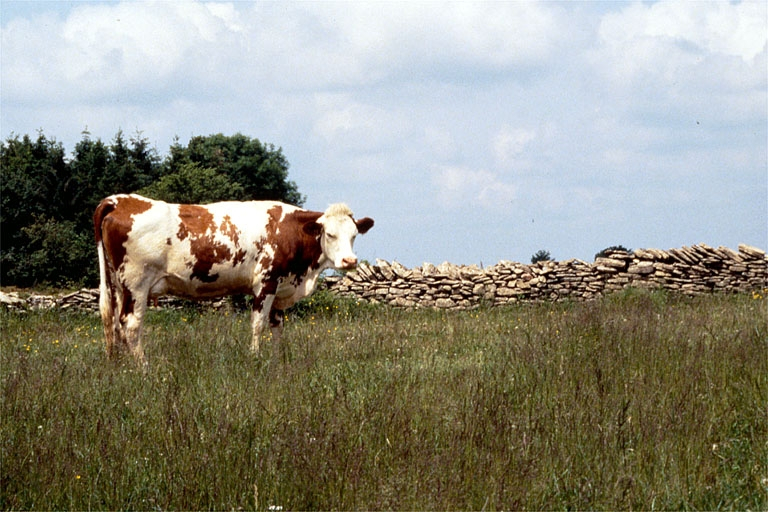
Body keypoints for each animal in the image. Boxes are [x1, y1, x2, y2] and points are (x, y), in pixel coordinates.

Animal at [93, 194, 374, 364]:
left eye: (354, 235)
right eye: (330, 234)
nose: (349, 261)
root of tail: (121, 200)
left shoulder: (280, 288)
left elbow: (277, 327)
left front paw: (277, 360)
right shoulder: (266, 283)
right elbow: (258, 325)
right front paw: (255, 358)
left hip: (119, 286)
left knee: (115, 324)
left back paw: (120, 365)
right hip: (136, 284)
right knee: (131, 324)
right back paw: (144, 367)